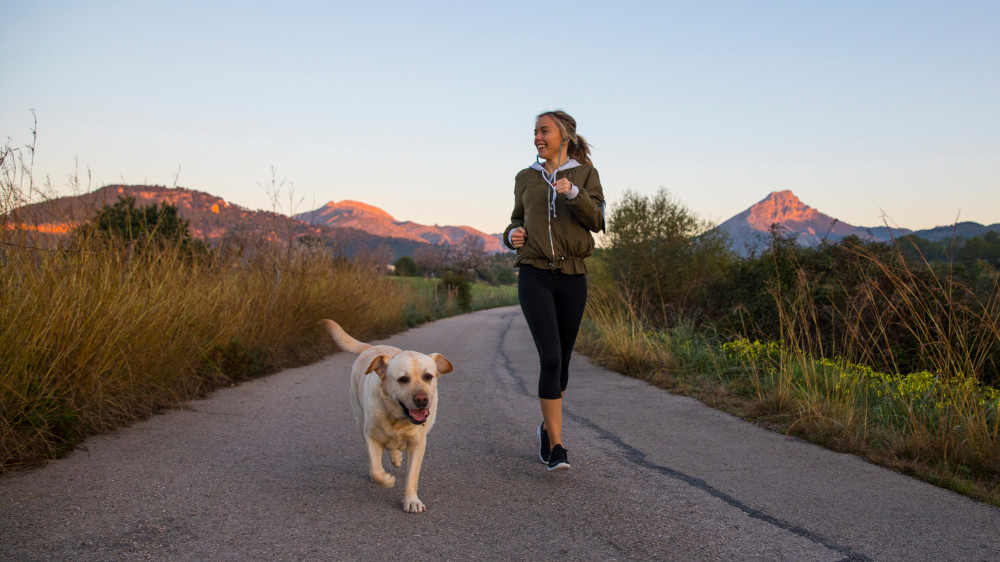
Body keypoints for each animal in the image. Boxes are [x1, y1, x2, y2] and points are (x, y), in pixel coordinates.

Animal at [322, 318, 456, 510]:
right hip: (359, 416)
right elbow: (376, 470)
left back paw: (397, 457)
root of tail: (371, 347)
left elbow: (412, 476)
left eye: (428, 376)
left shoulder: (417, 444)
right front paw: (386, 480)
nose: (422, 399)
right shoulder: (371, 437)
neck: (398, 419)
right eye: (403, 379)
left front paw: (412, 501)